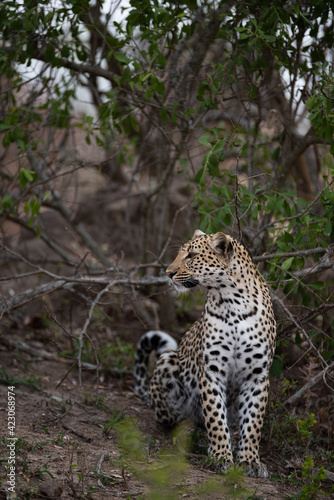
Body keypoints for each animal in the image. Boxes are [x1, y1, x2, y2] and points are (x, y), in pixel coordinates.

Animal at [134, 229, 276, 476]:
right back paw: (192, 433)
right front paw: (221, 457)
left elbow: (253, 421)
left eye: (191, 255)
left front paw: (250, 460)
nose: (168, 273)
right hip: (168, 360)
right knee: (173, 420)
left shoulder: (257, 375)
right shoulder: (212, 371)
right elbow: (215, 417)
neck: (232, 302)